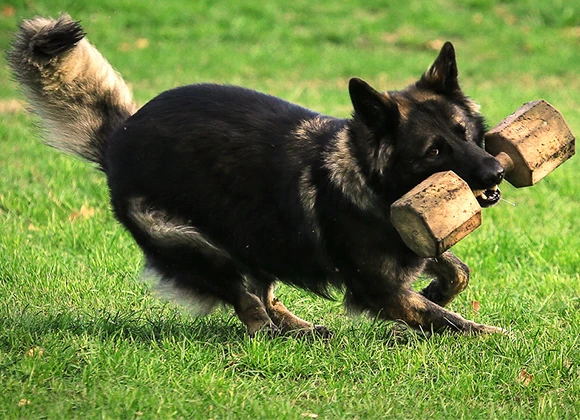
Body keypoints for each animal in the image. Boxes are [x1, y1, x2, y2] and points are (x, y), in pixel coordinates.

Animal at [10, 14, 508, 338]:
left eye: (464, 133)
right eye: (435, 151)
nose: (497, 171)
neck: (370, 178)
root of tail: (119, 136)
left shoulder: (411, 249)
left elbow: (457, 272)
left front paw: (435, 290)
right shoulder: (377, 287)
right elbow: (441, 317)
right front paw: (485, 334)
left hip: (259, 239)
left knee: (263, 295)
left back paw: (301, 329)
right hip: (199, 247)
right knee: (247, 305)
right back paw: (276, 333)